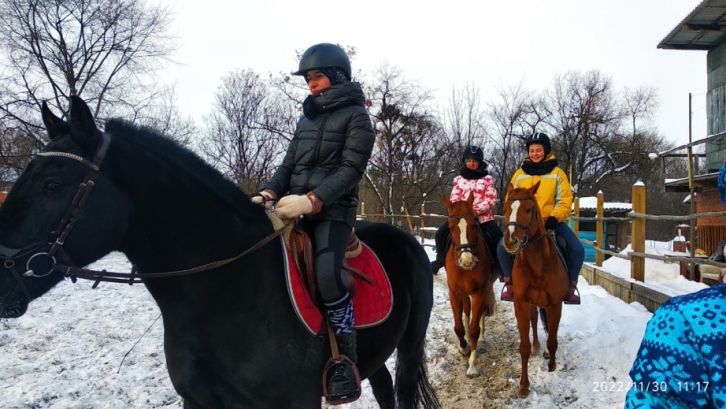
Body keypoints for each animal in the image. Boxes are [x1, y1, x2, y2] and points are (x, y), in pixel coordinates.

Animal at [0, 96, 444, 408]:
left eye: (53, 185)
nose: (3, 277)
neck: (228, 292)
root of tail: (409, 241)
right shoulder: (198, 402)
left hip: (409, 344)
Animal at [440, 194, 498, 376]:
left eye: (473, 225)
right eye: (451, 227)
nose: (467, 260)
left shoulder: (479, 292)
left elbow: (474, 329)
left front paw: (472, 366)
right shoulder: (454, 292)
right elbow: (459, 326)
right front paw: (463, 348)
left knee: (480, 315)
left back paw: (482, 337)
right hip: (464, 294)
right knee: (466, 312)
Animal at [504, 182, 572, 396]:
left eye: (528, 209)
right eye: (506, 209)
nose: (510, 241)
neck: (538, 264)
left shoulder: (555, 304)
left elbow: (553, 339)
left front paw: (551, 366)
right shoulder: (521, 303)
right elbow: (524, 346)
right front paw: (524, 385)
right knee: (534, 321)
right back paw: (536, 346)